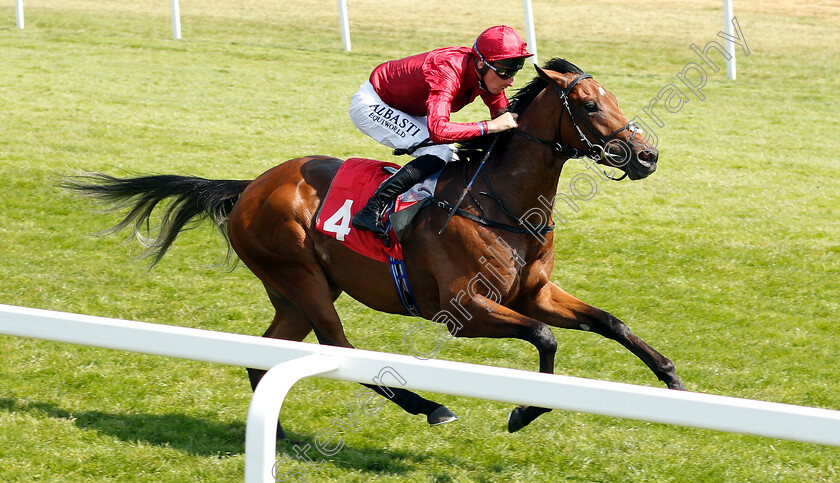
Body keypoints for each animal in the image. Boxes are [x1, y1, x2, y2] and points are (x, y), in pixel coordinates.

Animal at [64, 58, 684, 436]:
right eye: (589, 105)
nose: (648, 156)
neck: (502, 200)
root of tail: (251, 187)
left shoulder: (534, 292)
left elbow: (608, 321)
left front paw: (672, 379)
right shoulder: (460, 309)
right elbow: (545, 338)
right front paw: (524, 411)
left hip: (294, 293)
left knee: (265, 352)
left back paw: (276, 428)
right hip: (302, 277)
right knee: (340, 348)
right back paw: (431, 406)